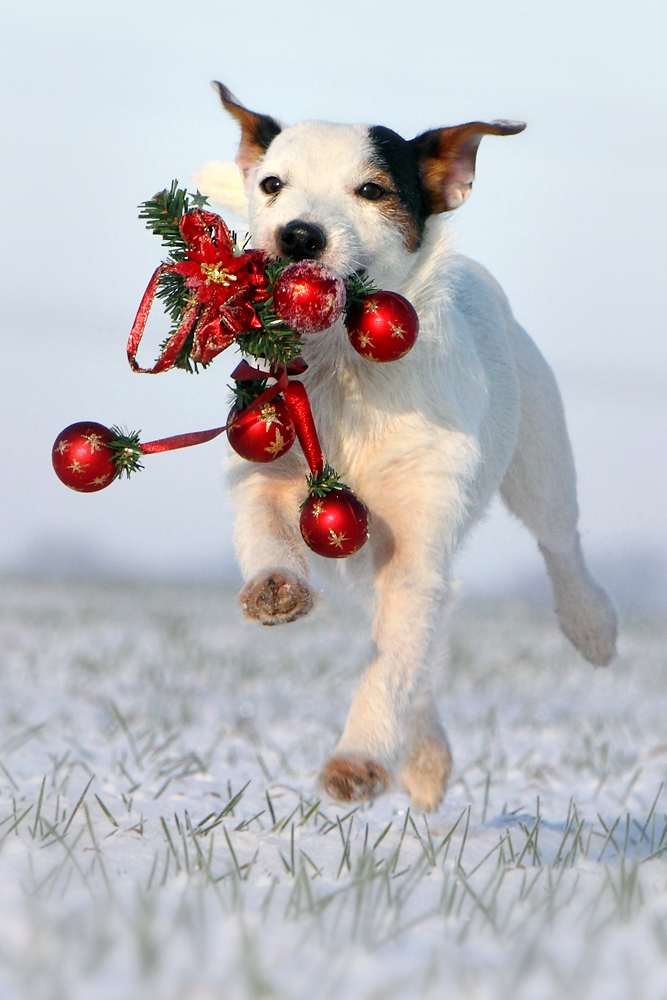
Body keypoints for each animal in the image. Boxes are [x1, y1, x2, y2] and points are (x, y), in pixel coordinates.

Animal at [197, 84, 620, 812]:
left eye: (371, 189)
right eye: (272, 184)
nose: (297, 234)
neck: (343, 368)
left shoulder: (419, 528)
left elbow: (394, 660)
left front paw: (357, 760)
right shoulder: (267, 465)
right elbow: (265, 530)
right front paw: (275, 587)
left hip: (540, 458)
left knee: (558, 542)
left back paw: (590, 625)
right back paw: (424, 757)